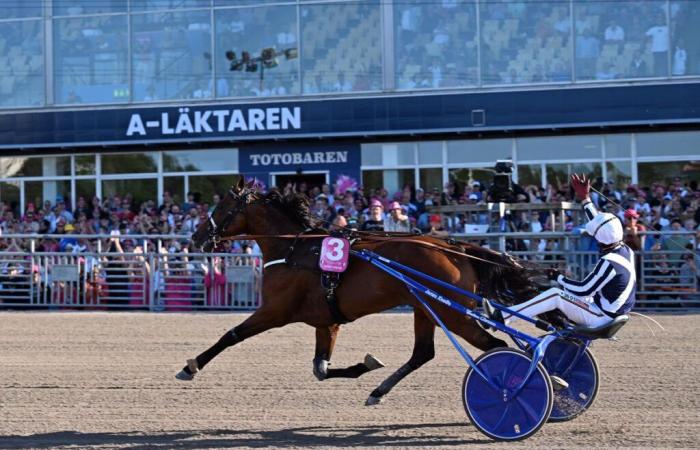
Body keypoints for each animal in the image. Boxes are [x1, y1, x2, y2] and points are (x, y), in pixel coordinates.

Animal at [175, 178, 548, 406]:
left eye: (222, 207)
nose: (196, 237)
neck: (294, 250)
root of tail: (455, 249)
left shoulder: (275, 311)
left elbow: (231, 335)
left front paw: (190, 366)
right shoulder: (326, 323)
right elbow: (321, 369)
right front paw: (366, 364)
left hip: (452, 313)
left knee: (496, 346)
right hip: (425, 309)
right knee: (423, 354)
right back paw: (378, 391)